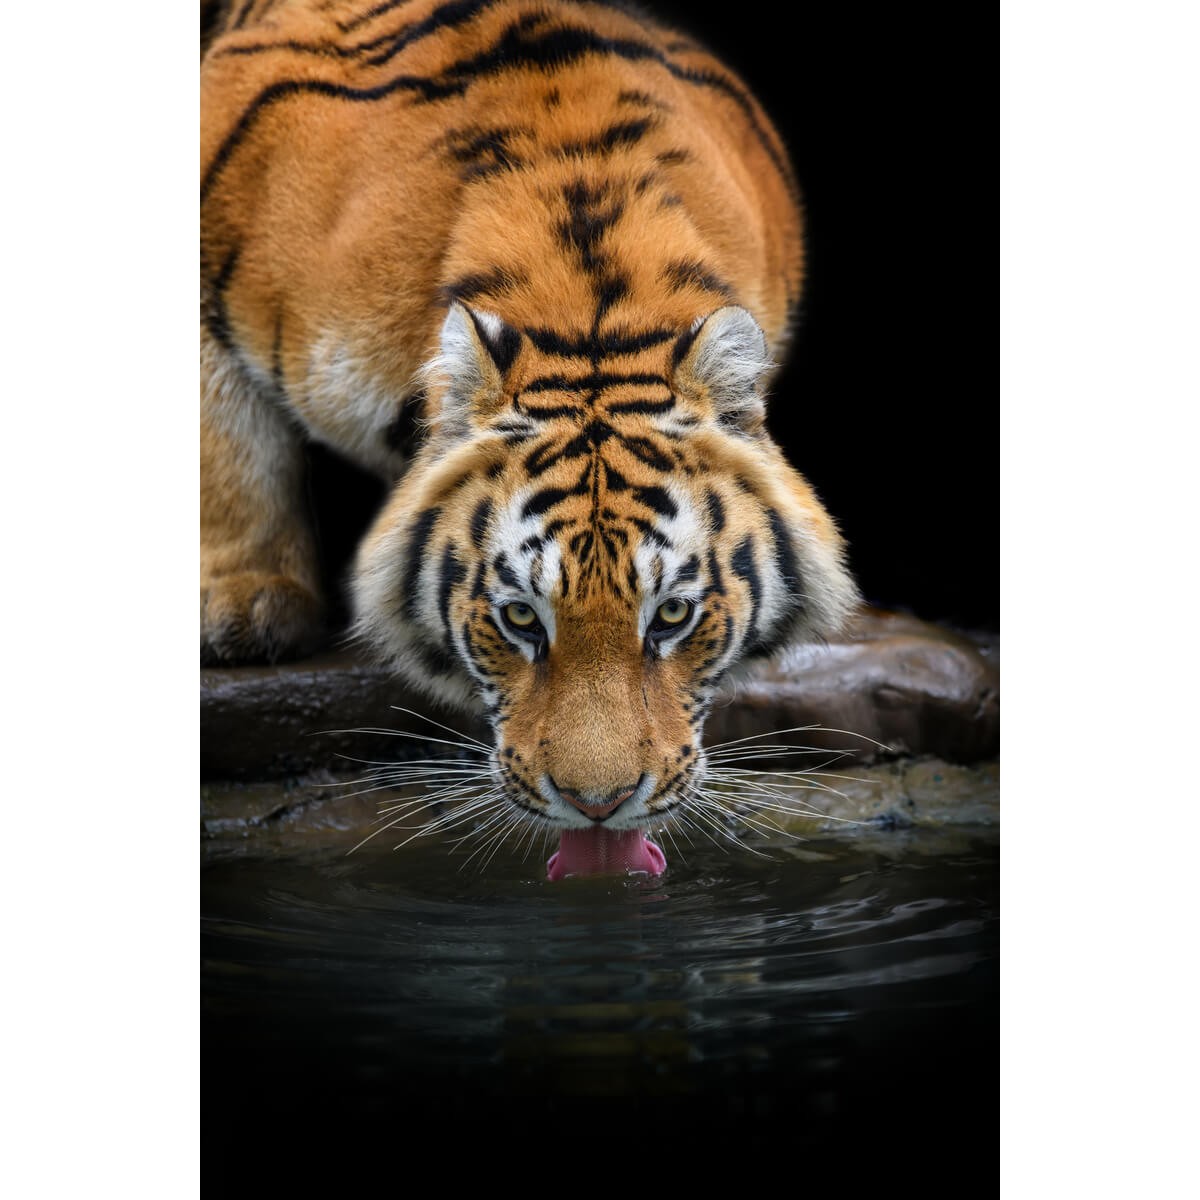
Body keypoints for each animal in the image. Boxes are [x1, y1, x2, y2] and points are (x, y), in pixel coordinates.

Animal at [200, 0, 861, 877]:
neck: (586, 308)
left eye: (672, 616)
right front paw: (245, 609)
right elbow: (223, 441)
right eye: (519, 619)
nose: (599, 805)